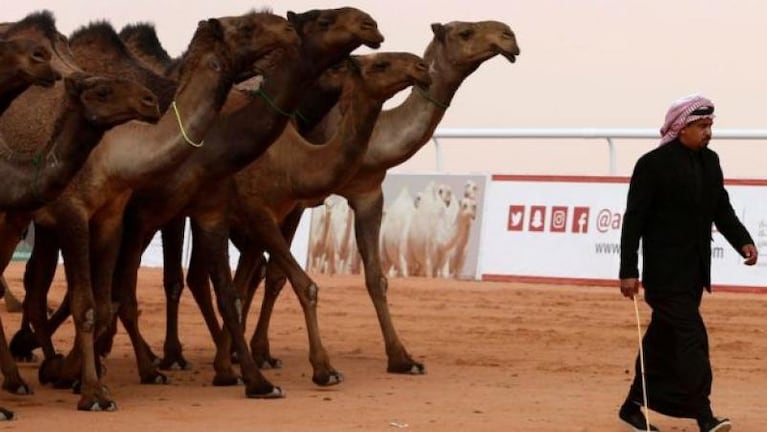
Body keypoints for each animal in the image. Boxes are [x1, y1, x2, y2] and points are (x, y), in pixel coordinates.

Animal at [12, 14, 300, 412]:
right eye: (246, 27)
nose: (289, 30)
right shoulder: (94, 214)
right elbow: (98, 299)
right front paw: (90, 386)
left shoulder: (126, 215)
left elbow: (109, 300)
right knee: (39, 286)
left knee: (39, 285)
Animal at [176, 52, 432, 386]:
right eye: (380, 64)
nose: (421, 67)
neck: (292, 161)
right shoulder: (257, 212)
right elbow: (304, 285)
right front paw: (324, 369)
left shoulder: (268, 217)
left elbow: (242, 288)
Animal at [244, 20, 520, 374]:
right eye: (465, 33)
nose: (509, 36)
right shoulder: (296, 202)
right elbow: (276, 274)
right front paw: (261, 352)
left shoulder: (368, 194)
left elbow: (376, 278)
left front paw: (403, 358)